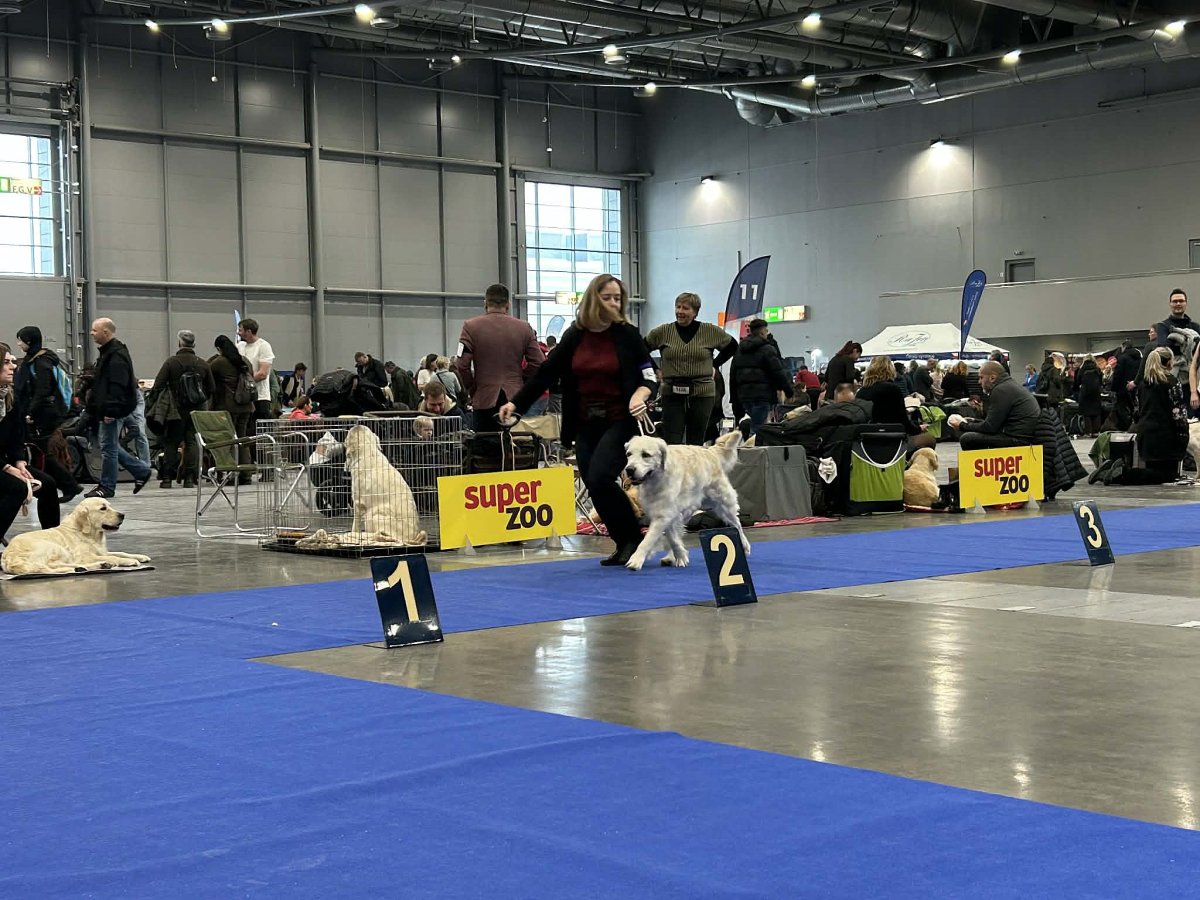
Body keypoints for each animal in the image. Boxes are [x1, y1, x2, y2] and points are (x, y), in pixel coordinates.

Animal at [1, 497, 151, 576]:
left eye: (110, 506)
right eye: (103, 508)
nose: (122, 515)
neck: (89, 534)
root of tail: (8, 557)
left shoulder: (101, 551)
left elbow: (121, 552)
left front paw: (140, 556)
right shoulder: (84, 556)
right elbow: (114, 556)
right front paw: (129, 561)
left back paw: (92, 567)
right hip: (54, 547)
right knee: (48, 567)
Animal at [297, 425, 426, 548]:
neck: (368, 453)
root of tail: (415, 538)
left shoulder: (358, 503)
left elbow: (356, 524)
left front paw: (355, 533)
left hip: (373, 515)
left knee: (382, 535)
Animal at [622, 430, 748, 571]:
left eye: (645, 455)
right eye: (629, 454)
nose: (629, 470)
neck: (657, 479)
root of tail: (710, 452)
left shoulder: (665, 514)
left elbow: (648, 540)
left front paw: (636, 560)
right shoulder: (665, 513)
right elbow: (672, 537)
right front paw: (679, 556)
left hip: (724, 502)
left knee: (737, 524)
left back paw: (745, 546)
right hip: (688, 509)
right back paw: (670, 557)